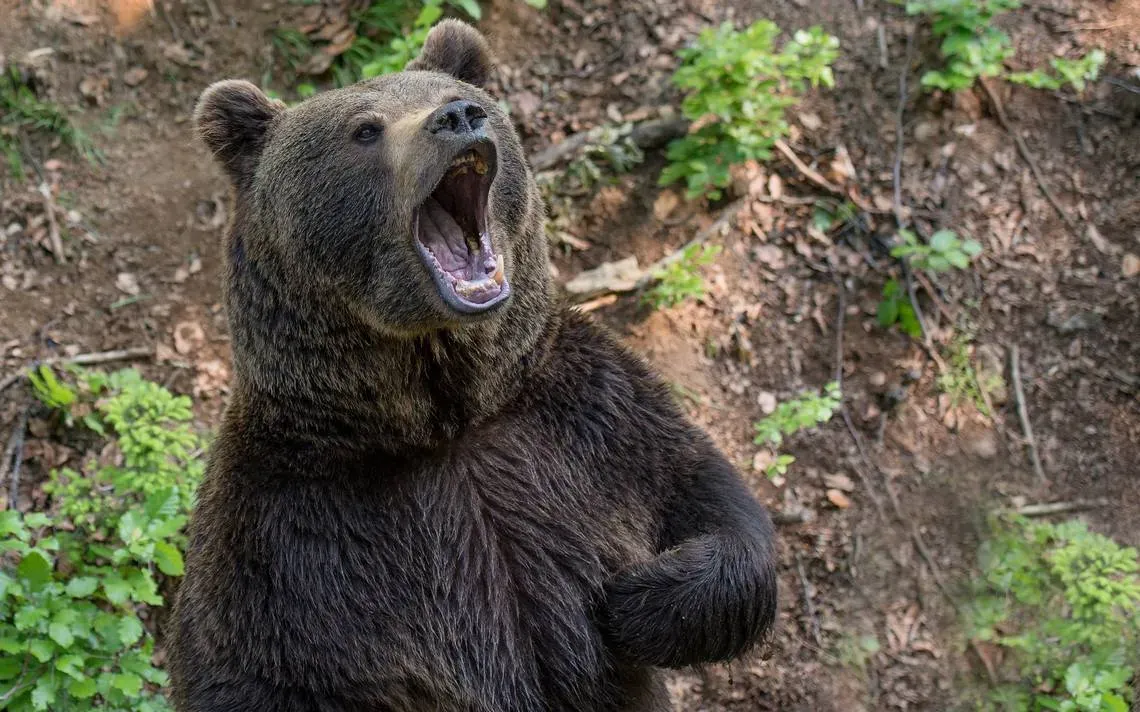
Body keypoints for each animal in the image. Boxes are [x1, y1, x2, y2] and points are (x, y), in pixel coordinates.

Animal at [168, 20, 778, 712]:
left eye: (453, 95)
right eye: (365, 129)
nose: (459, 117)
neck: (447, 417)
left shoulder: (592, 421)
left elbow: (710, 501)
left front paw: (635, 602)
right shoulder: (287, 539)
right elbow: (251, 672)